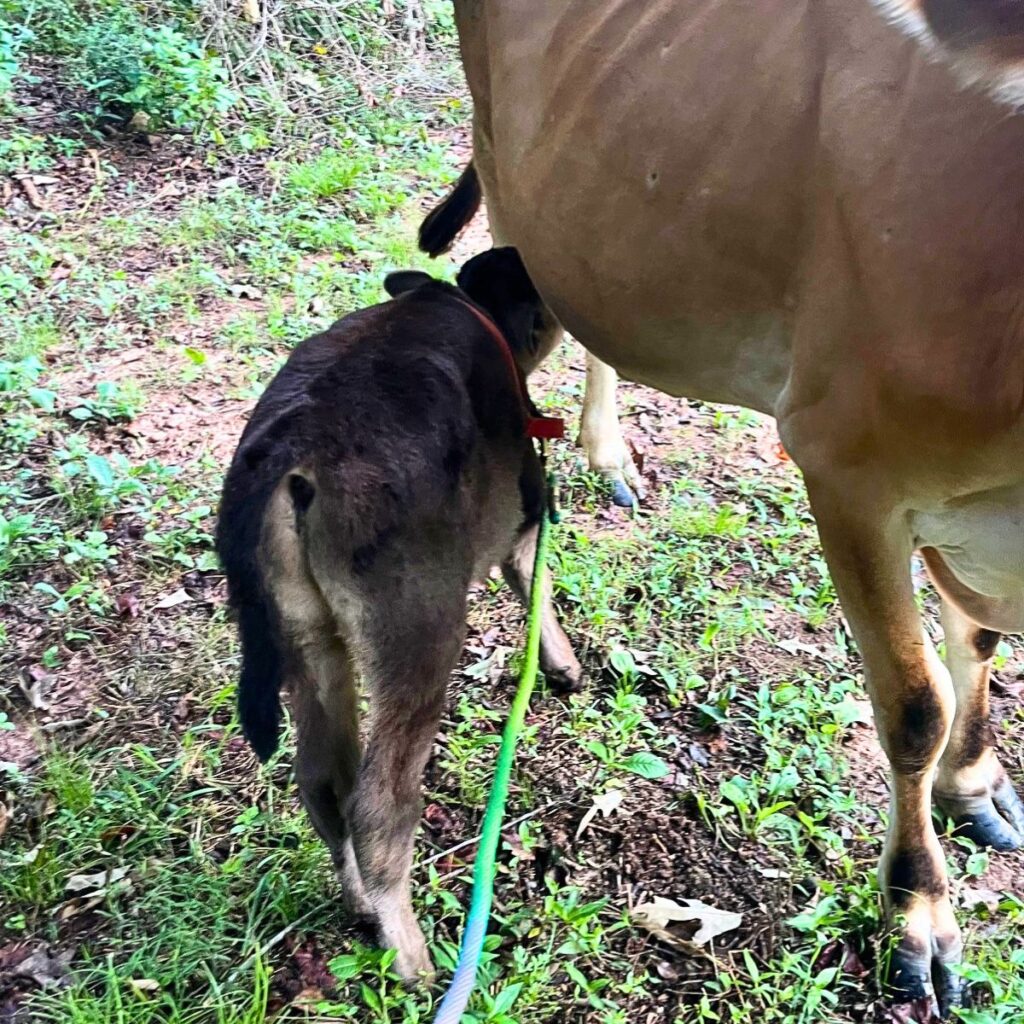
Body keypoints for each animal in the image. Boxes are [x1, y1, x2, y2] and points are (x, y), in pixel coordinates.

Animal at [216, 247, 582, 983]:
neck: (472, 308)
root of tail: (293, 453)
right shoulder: (524, 514)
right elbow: (536, 581)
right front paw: (561, 664)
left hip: (307, 639)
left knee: (323, 780)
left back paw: (361, 905)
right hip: (419, 638)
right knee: (378, 803)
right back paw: (411, 954)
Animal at [429, 0, 1024, 1013]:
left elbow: (976, 645)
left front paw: (976, 782)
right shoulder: (848, 464)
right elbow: (914, 707)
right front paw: (918, 913)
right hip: (506, 171)